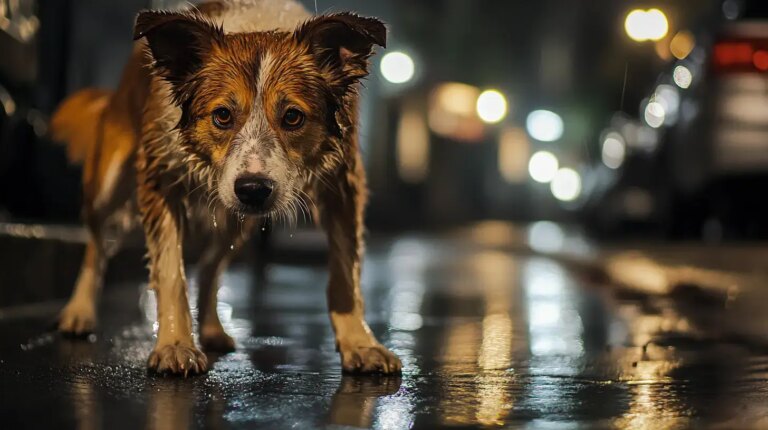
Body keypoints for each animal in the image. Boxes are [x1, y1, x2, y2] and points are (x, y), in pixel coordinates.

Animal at [51, 0, 402, 374]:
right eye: (222, 115)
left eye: (293, 117)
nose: (253, 189)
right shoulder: (159, 178)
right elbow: (170, 271)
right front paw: (175, 344)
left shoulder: (344, 182)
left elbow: (345, 274)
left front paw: (361, 343)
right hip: (110, 183)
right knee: (97, 245)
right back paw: (79, 312)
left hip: (236, 217)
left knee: (209, 266)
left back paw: (211, 328)